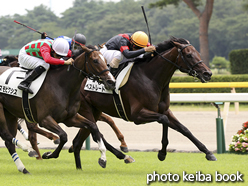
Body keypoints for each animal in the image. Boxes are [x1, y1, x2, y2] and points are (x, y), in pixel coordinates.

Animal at [0, 44, 115, 173]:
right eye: (95, 60)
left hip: (10, 113)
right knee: (6, 135)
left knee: (9, 142)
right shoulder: (45, 119)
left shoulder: (70, 118)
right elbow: (63, 136)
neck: (62, 85)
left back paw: (23, 168)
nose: (111, 81)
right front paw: (48, 154)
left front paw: (103, 158)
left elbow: (93, 126)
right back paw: (29, 150)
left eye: (106, 60)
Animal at [70, 36, 217, 169]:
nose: (208, 73)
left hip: (95, 110)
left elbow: (184, 129)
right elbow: (164, 120)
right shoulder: (137, 115)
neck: (151, 78)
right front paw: (162, 153)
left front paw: (208, 153)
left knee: (80, 139)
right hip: (86, 110)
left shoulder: (164, 110)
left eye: (198, 53)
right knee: (94, 134)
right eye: (189, 55)